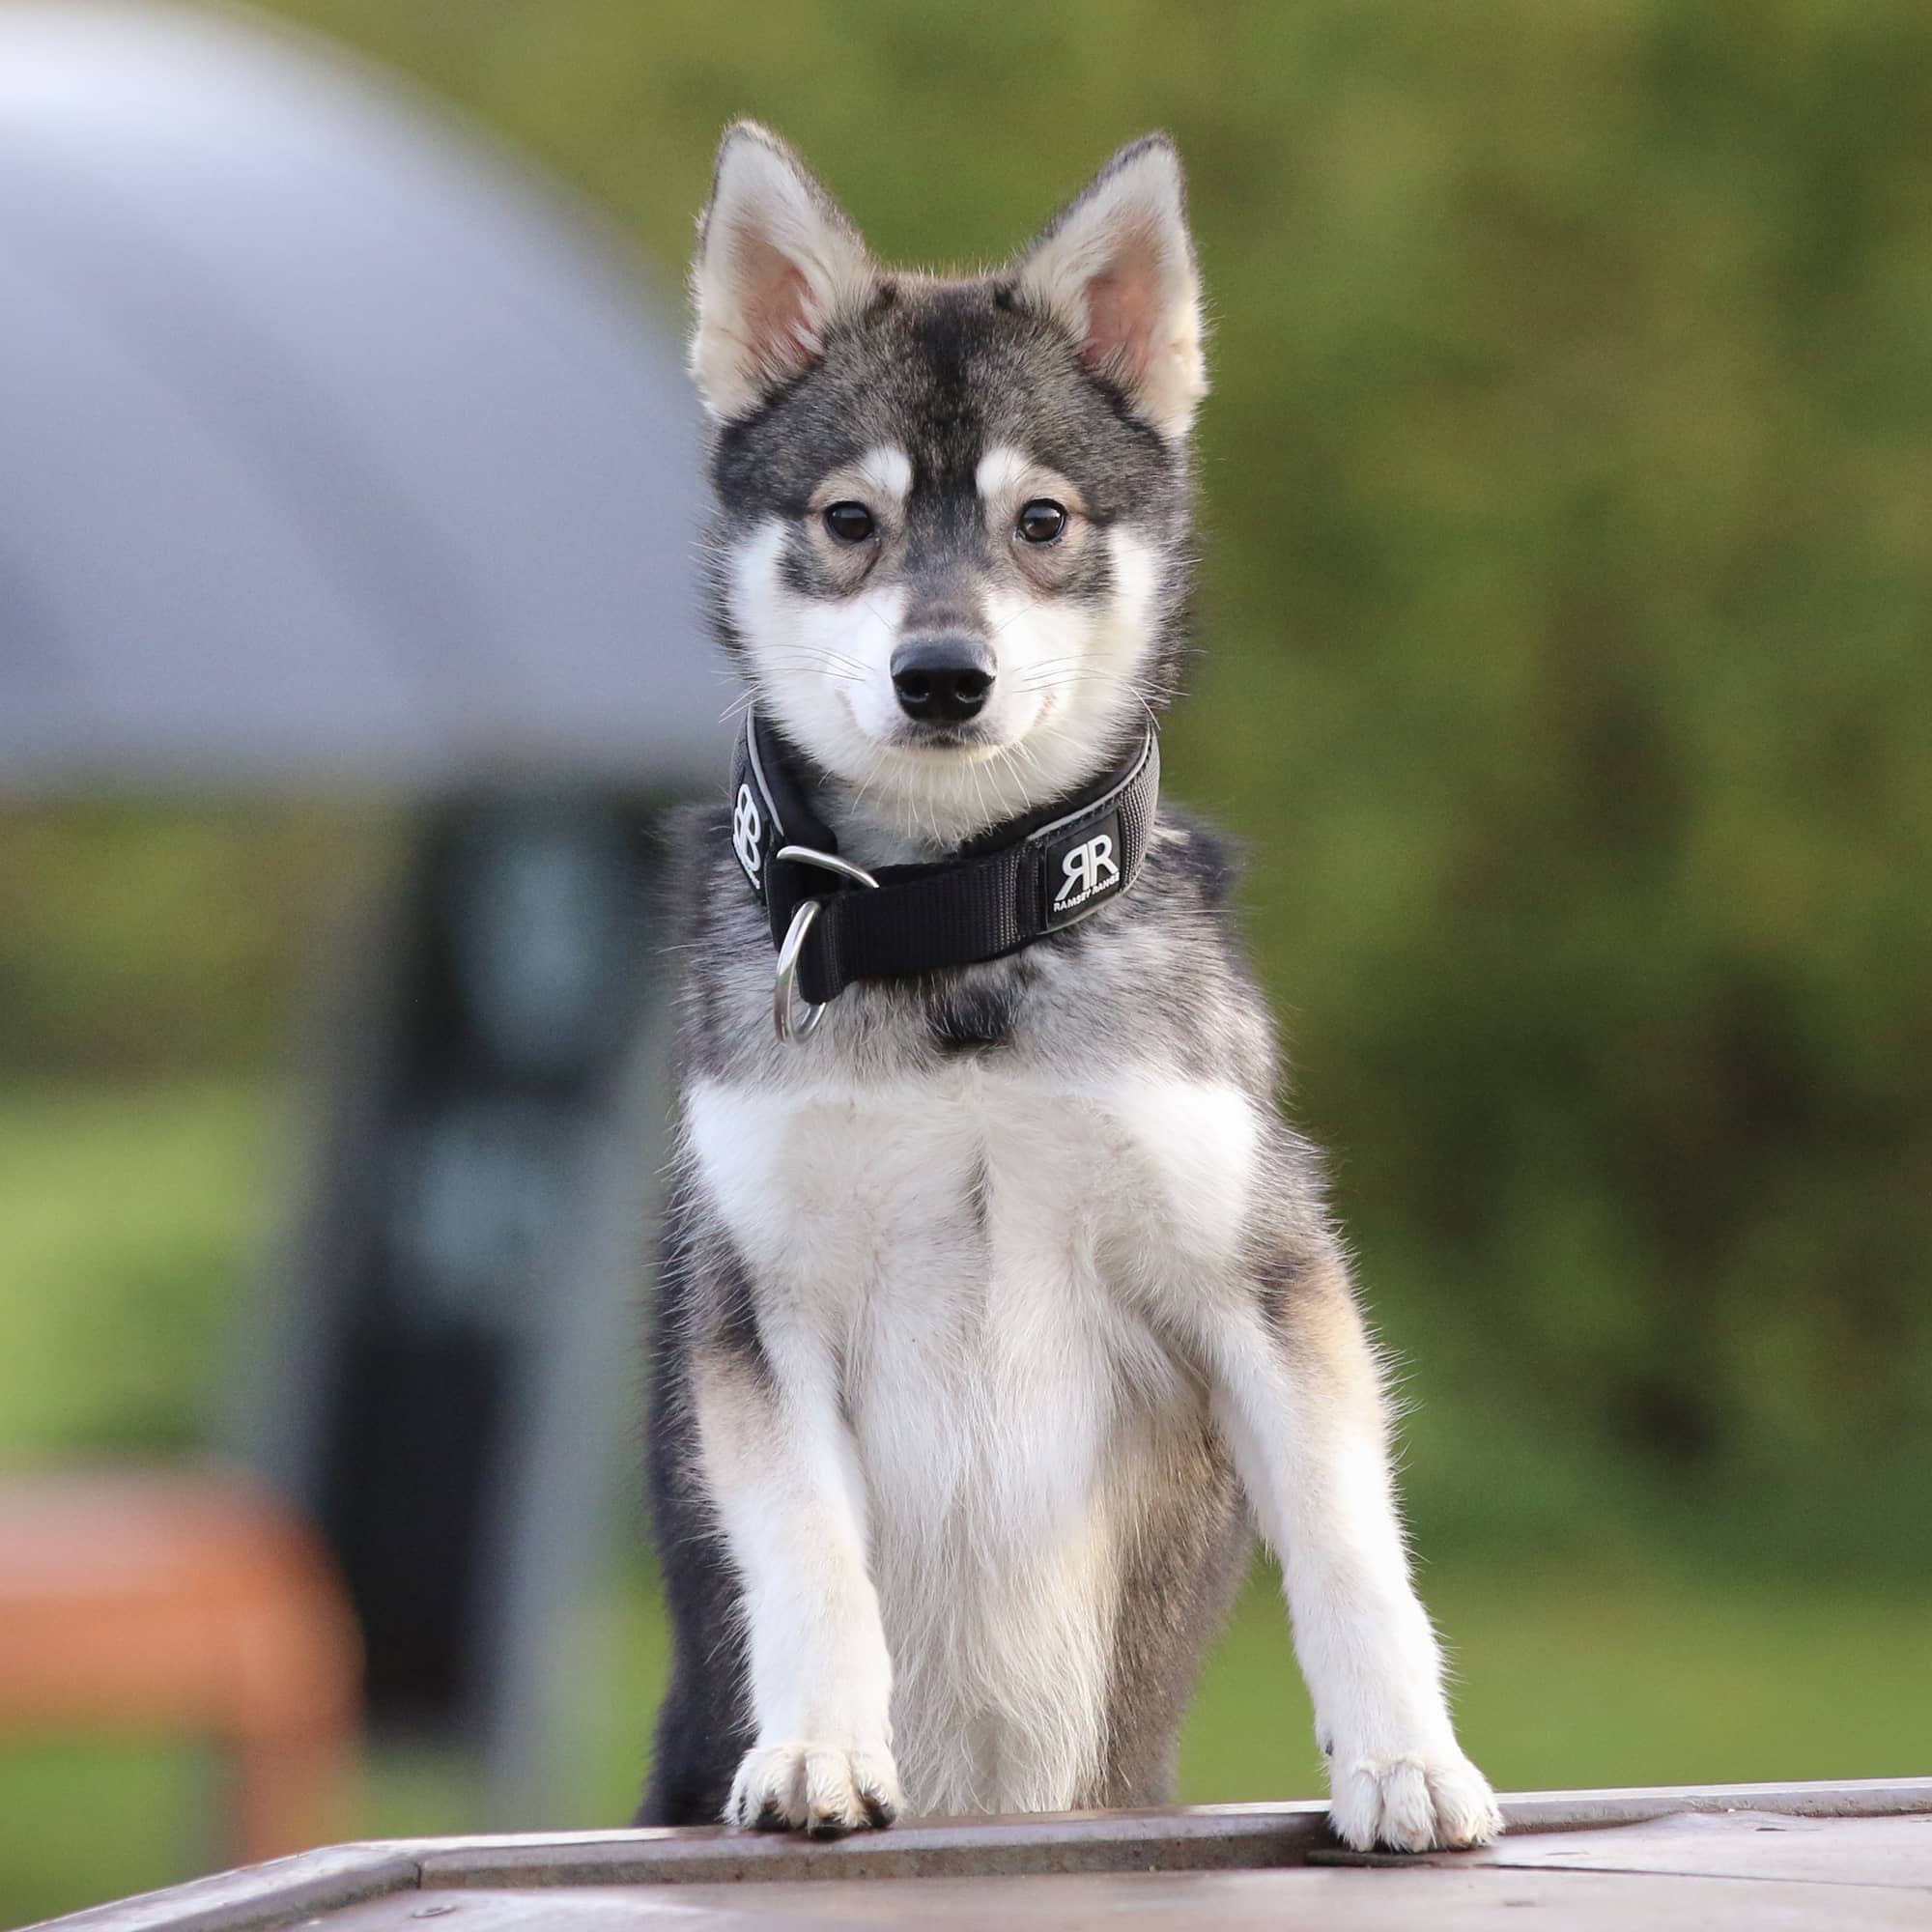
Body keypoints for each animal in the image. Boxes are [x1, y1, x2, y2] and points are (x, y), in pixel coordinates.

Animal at [641, 121, 1499, 1855]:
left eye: (1040, 521)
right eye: (850, 521)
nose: (942, 676)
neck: (957, 935)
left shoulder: (1258, 1268)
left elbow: (1348, 1540)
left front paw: (1401, 1757)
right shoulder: (759, 1303)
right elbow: (811, 1551)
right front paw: (821, 1748)